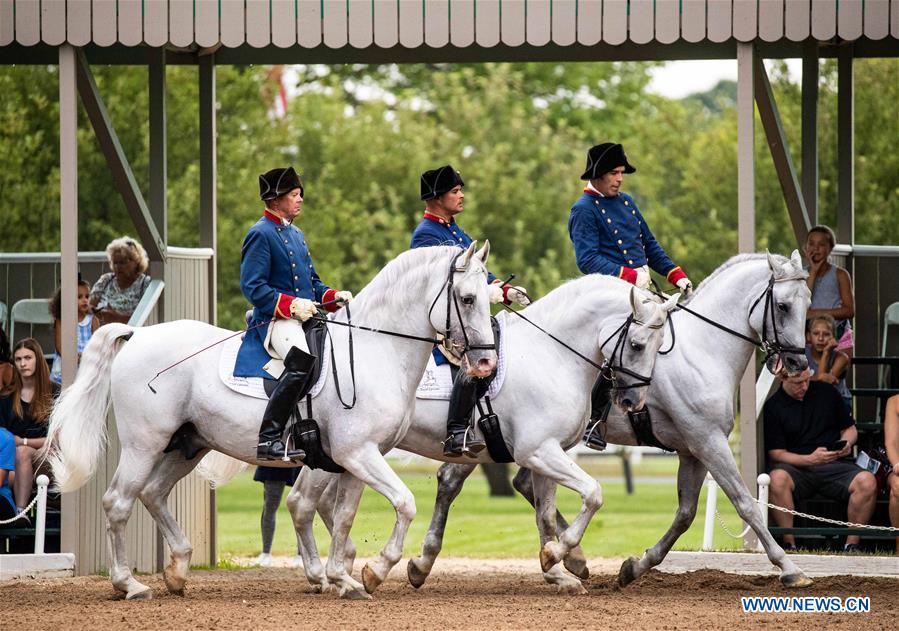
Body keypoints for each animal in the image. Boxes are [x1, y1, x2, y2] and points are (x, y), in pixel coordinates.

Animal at [43, 243, 497, 601]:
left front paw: (344, 578)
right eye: (467, 299)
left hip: (189, 445)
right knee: (118, 502)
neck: (374, 349)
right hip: (144, 444)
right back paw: (130, 584)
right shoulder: (358, 454)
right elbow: (404, 502)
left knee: (153, 493)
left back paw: (178, 570)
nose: (486, 363)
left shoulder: (355, 459)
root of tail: (138, 335)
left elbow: (345, 517)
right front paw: (375, 569)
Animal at [282, 276, 680, 596]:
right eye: (638, 345)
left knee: (311, 502)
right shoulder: (539, 451)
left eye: (662, 344)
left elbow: (546, 515)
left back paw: (335, 571)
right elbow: (594, 494)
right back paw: (339, 571)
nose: (632, 401)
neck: (550, 354)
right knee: (310, 502)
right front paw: (558, 555)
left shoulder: (547, 453)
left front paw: (556, 567)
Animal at [410, 251, 815, 590]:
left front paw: (634, 567)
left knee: (491, 483)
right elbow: (746, 503)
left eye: (808, 302)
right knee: (458, 481)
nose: (799, 364)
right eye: (782, 306)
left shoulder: (693, 450)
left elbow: (685, 514)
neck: (702, 348)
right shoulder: (708, 441)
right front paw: (790, 568)